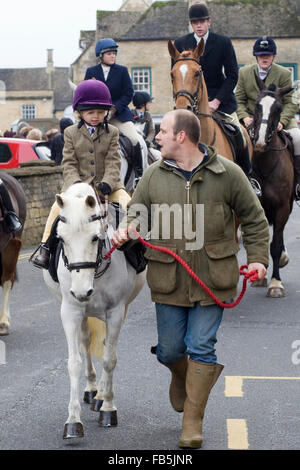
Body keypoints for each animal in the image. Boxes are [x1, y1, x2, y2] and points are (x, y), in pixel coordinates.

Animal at [42, 183, 145, 436]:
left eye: (94, 238)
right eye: (61, 238)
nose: (81, 291)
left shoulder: (116, 312)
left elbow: (109, 359)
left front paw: (108, 408)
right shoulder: (70, 312)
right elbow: (74, 363)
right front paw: (72, 420)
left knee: (106, 346)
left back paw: (100, 397)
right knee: (86, 342)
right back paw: (91, 390)